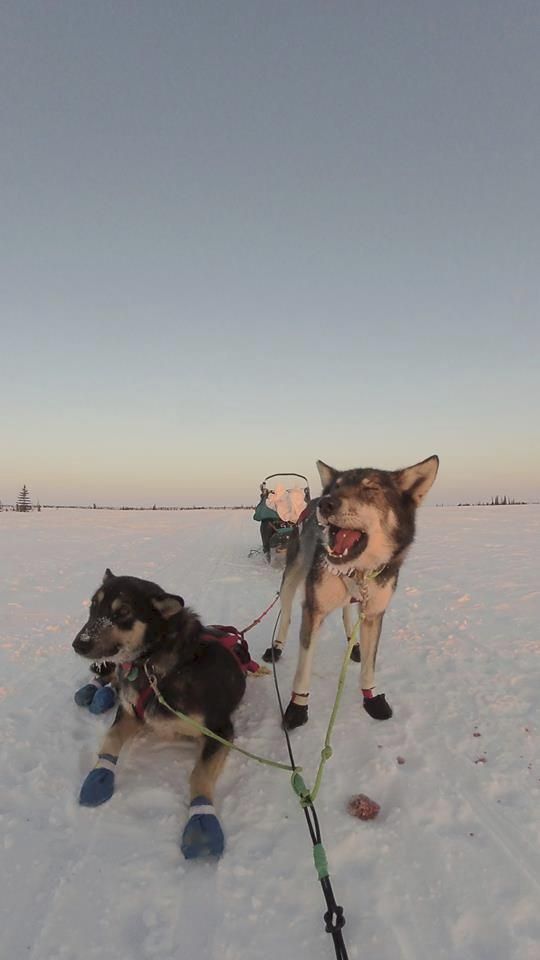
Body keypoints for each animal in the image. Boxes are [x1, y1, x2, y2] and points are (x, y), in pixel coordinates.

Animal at [71, 572, 249, 860]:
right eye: (93, 607)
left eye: (123, 612)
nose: (79, 643)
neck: (153, 666)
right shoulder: (130, 712)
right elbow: (110, 739)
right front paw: (99, 777)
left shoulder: (220, 730)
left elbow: (198, 774)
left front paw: (202, 820)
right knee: (110, 676)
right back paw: (94, 691)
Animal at [264, 458, 440, 728]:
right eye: (336, 487)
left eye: (370, 489)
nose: (326, 503)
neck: (357, 571)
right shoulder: (313, 610)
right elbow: (303, 670)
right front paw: (298, 707)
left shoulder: (374, 614)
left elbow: (369, 666)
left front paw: (371, 698)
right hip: (291, 578)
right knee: (286, 613)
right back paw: (277, 647)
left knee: (347, 610)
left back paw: (353, 642)